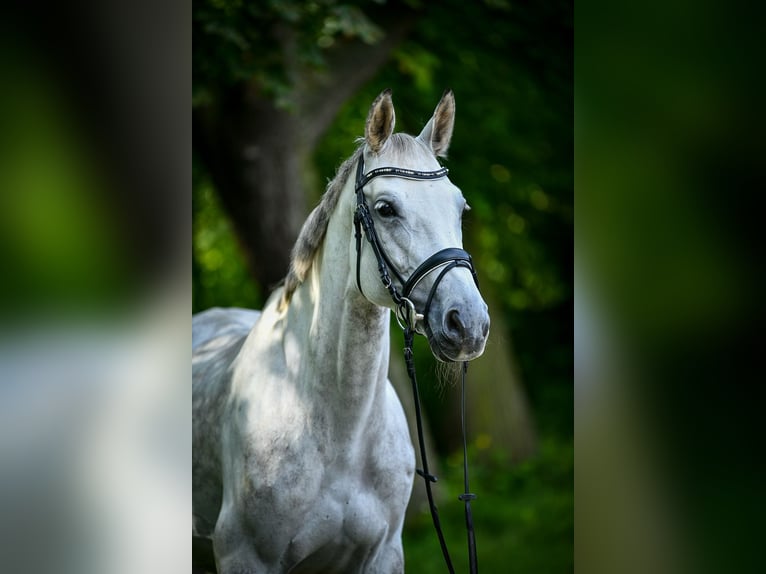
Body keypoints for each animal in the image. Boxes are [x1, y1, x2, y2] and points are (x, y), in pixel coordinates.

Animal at [194, 90, 492, 574]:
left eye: (460, 208)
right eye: (386, 209)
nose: (468, 323)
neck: (338, 433)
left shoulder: (382, 555)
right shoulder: (246, 556)